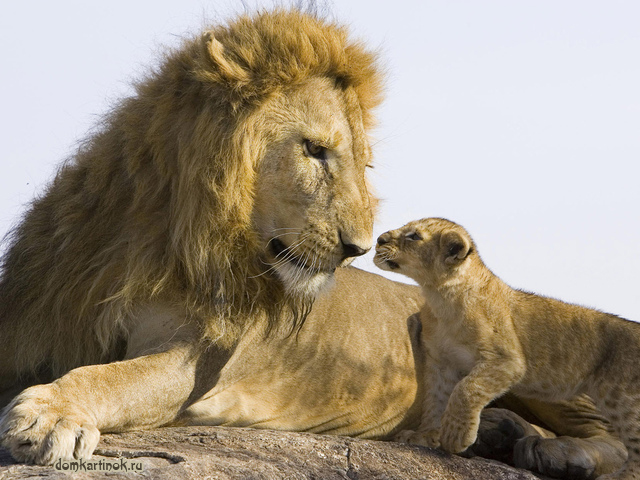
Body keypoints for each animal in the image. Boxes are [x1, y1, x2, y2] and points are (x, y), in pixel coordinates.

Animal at [0, 9, 624, 478]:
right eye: (315, 151)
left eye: (363, 164)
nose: (358, 247)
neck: (163, 236)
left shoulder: (194, 360)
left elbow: (111, 376)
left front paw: (49, 414)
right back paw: (488, 433)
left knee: (611, 437)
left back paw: (557, 451)